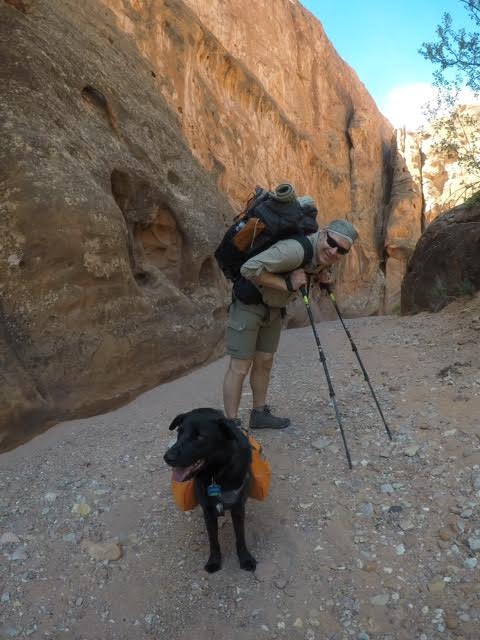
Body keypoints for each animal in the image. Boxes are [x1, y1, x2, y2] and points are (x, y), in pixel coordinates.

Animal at [164, 410, 256, 576]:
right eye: (179, 432)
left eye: (200, 437)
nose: (167, 457)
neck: (216, 474)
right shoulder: (208, 511)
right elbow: (213, 540)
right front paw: (214, 561)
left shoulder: (238, 508)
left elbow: (240, 537)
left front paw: (245, 559)